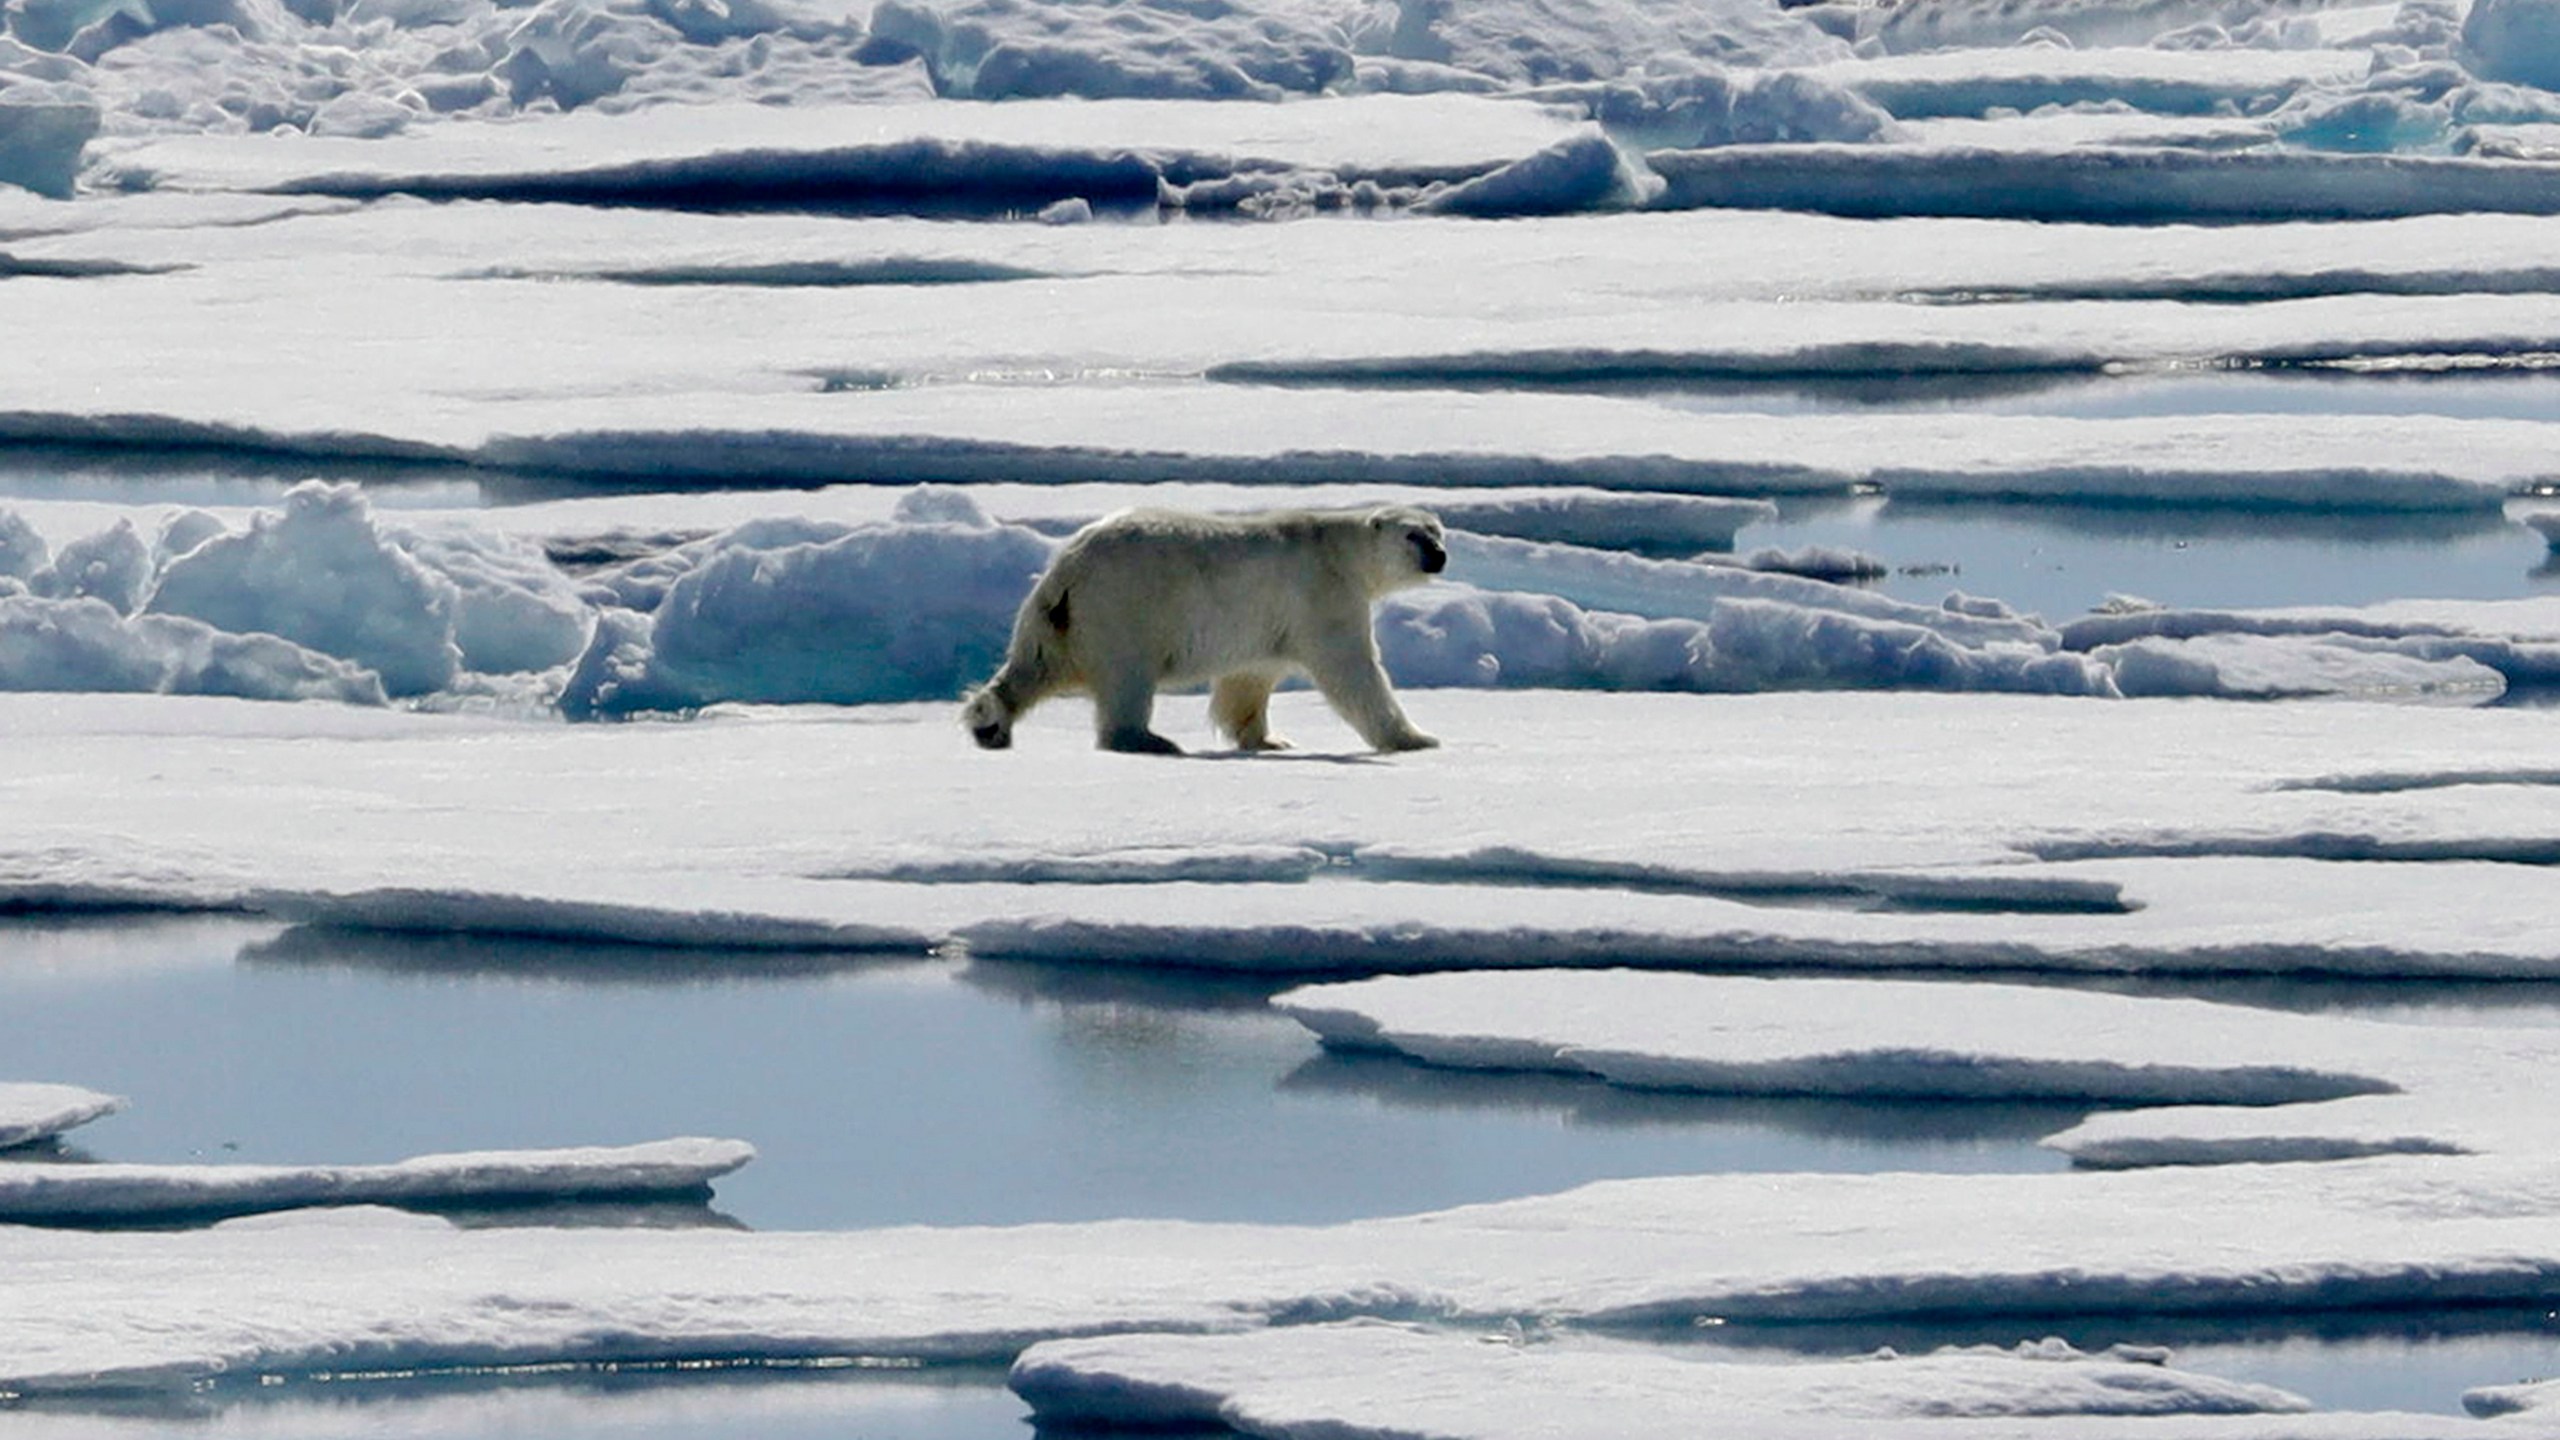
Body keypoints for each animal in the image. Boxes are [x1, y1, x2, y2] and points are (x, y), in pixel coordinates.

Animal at [962, 502, 1454, 753]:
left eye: (1437, 530)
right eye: (1413, 535)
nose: (1440, 555)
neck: (1341, 550)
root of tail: (1068, 566)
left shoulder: (1268, 623)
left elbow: (1249, 679)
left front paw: (1268, 740)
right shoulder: (1323, 594)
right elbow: (1352, 670)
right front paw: (1415, 738)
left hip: (1056, 618)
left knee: (1034, 665)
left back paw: (989, 723)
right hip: (1126, 606)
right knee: (1127, 677)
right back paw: (1148, 739)